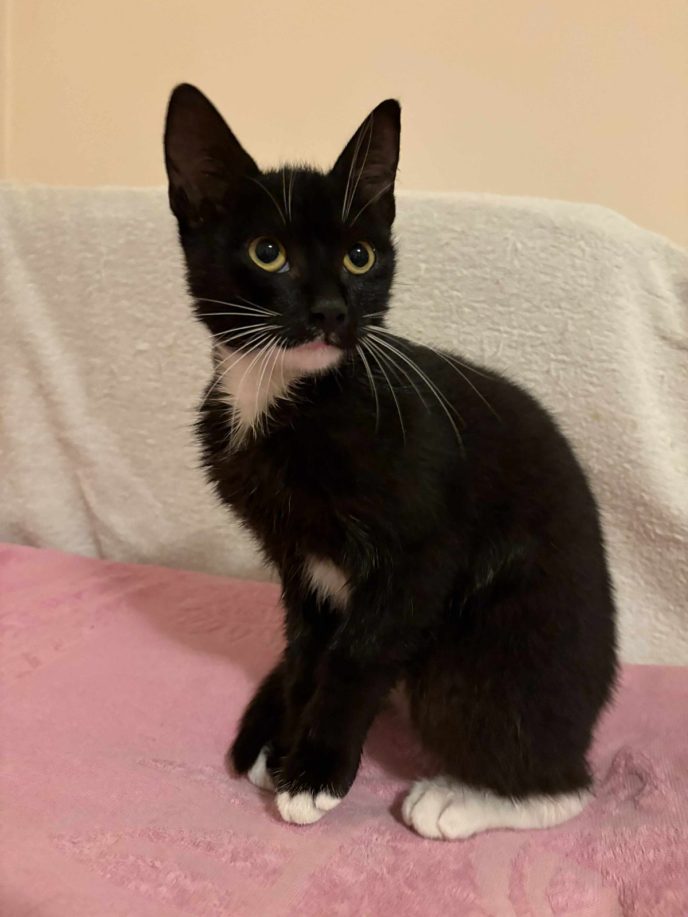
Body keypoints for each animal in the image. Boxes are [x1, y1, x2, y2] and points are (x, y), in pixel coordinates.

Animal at [164, 84, 617, 840]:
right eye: (267, 253)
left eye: (359, 257)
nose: (329, 311)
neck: (288, 396)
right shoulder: (298, 561)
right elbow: (308, 647)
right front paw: (288, 740)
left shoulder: (423, 552)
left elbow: (358, 652)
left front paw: (313, 772)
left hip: (497, 648)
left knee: (560, 778)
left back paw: (464, 797)